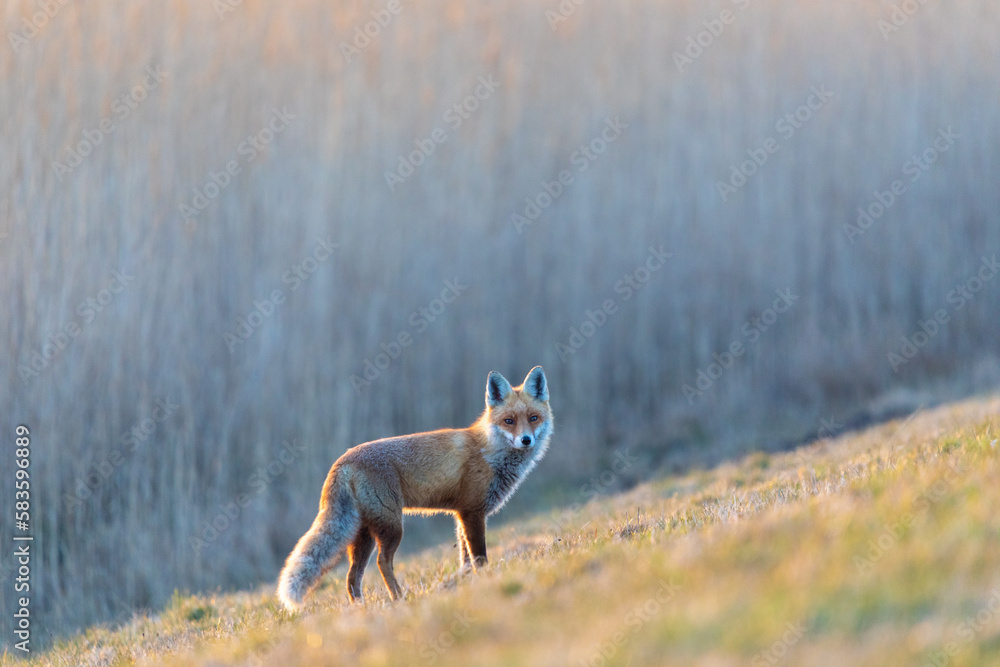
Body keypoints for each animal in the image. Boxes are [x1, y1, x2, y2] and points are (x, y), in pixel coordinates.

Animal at [277, 366, 552, 611]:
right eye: (509, 421)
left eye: (533, 418)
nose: (526, 440)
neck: (489, 451)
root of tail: (342, 461)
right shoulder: (472, 512)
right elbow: (480, 558)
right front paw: (486, 582)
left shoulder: (461, 515)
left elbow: (464, 559)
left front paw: (464, 584)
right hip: (392, 526)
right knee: (383, 563)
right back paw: (398, 599)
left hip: (363, 535)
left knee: (352, 576)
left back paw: (360, 610)